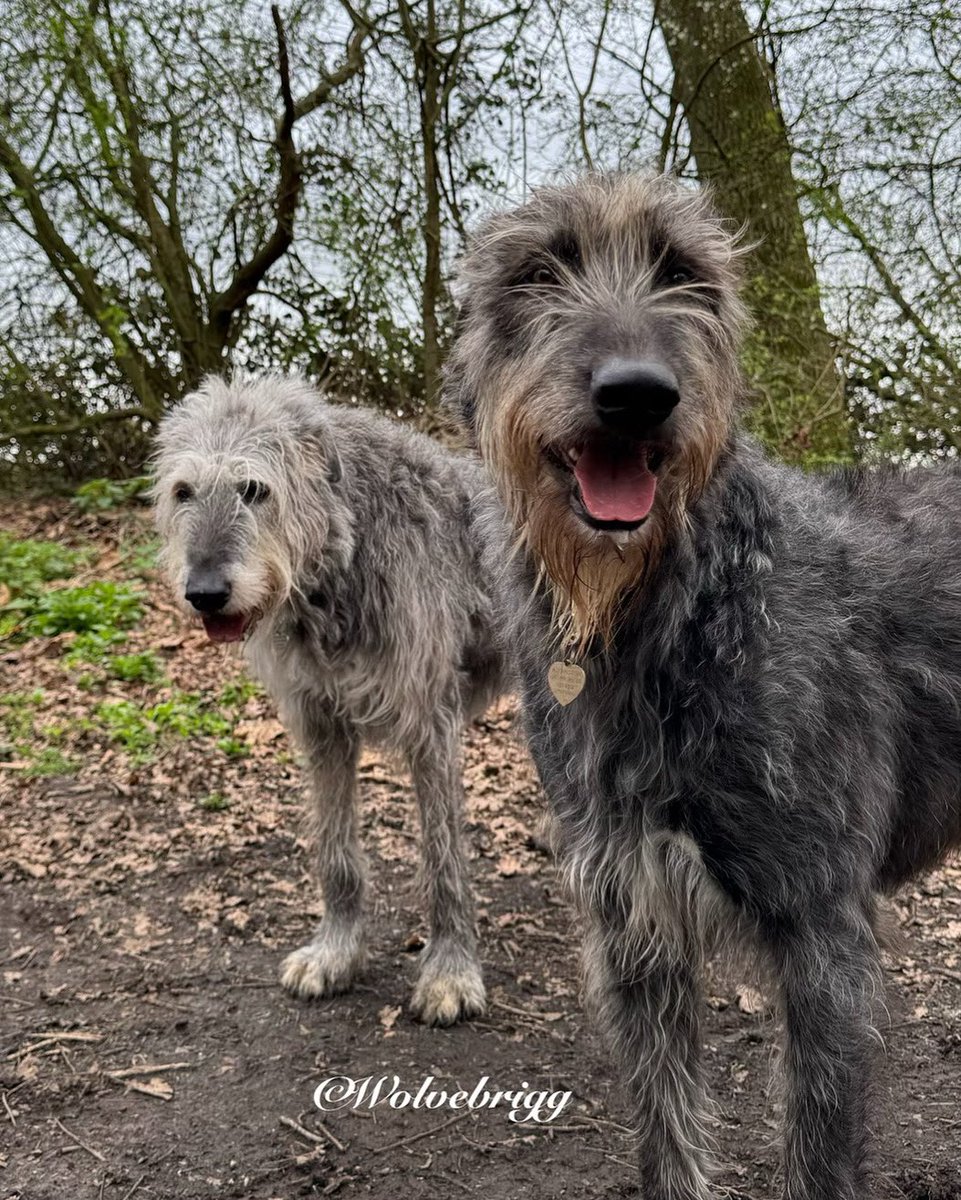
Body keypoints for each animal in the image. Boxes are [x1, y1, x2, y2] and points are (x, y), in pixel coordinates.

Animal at [153, 374, 506, 1022]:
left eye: (253, 489)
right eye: (183, 492)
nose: (205, 593)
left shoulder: (431, 724)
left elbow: (443, 856)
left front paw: (450, 971)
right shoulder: (321, 723)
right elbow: (335, 851)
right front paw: (336, 952)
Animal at [446, 174, 959, 1195]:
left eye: (681, 271)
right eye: (538, 271)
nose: (636, 395)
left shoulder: (823, 937)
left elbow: (817, 1153)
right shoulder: (632, 928)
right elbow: (666, 1131)